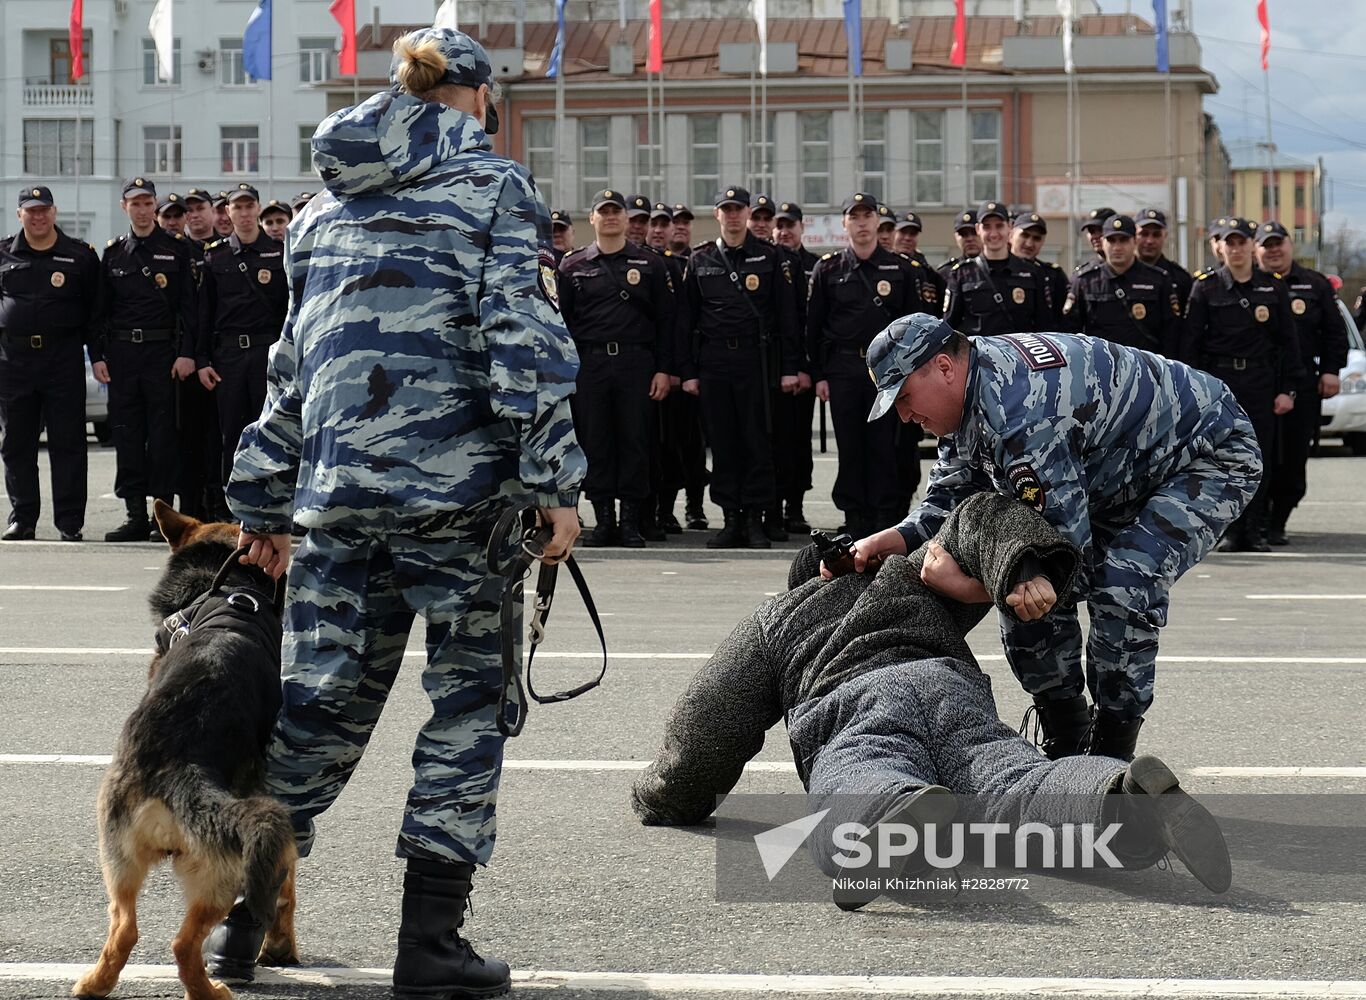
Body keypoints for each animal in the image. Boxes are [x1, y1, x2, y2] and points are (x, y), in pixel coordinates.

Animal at [76, 500, 299, 1000]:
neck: (228, 587)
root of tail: (177, 772)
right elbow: (287, 893)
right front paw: (281, 947)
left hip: (117, 860)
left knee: (125, 930)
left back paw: (93, 984)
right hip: (221, 874)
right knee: (182, 944)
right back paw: (210, 991)